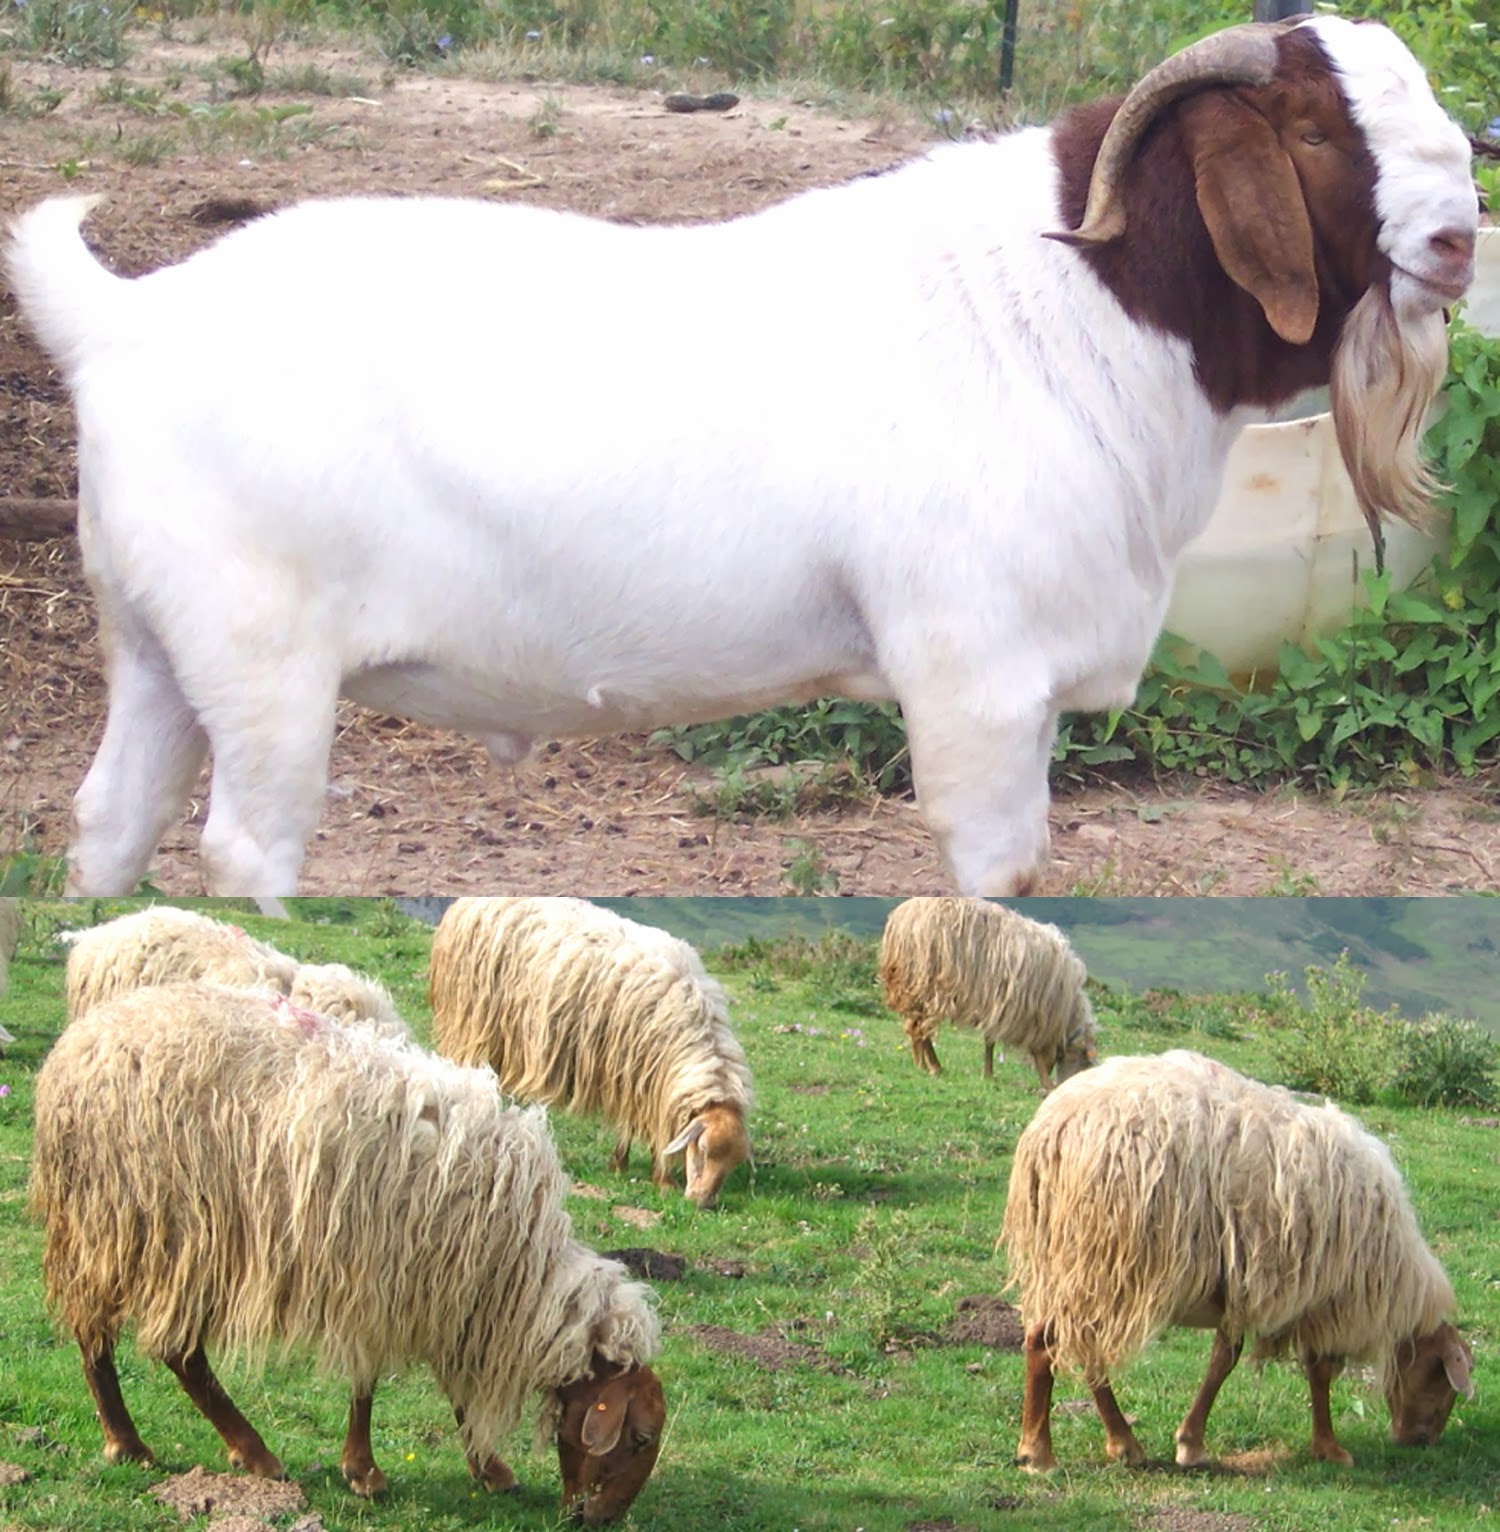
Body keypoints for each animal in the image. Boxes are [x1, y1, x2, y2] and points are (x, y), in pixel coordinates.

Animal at [4, 19, 1478, 898]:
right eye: (1313, 130)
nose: (1460, 235)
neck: (1066, 302)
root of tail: (123, 319)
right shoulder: (979, 677)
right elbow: (1000, 881)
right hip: (261, 657)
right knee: (249, 847)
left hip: (157, 646)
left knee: (109, 824)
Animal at [30, 981, 666, 1524]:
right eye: (639, 1437)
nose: (602, 1521)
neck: (521, 1275)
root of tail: (76, 1045)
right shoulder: (394, 1278)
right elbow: (371, 1384)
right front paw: (368, 1471)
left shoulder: (444, 1293)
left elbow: (444, 1385)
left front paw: (487, 1469)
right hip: (159, 1225)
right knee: (168, 1350)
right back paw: (219, 1451)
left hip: (113, 1228)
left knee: (110, 1338)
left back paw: (145, 1442)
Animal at [429, 896, 752, 1209]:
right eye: (703, 1149)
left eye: (733, 1162)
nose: (703, 1203)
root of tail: (463, 904)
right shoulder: (632, 1069)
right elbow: (638, 1121)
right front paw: (659, 1177)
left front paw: (623, 1164)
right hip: (469, 1022)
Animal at [878, 897, 1096, 1087]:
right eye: (1082, 1061)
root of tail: (901, 917)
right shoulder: (1030, 1012)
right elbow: (1031, 1051)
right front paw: (1045, 1083)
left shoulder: (1000, 1006)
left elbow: (990, 1041)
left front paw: (988, 1074)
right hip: (928, 985)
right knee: (920, 1029)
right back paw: (933, 1067)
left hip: (913, 986)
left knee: (915, 1028)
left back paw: (922, 1064)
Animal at [1001, 1049, 1474, 1471]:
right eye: (1442, 1380)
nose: (1419, 1441)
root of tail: (1053, 1130)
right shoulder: (1321, 1295)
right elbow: (1314, 1371)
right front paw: (1328, 1448)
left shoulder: (1244, 1288)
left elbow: (1225, 1359)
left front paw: (1191, 1442)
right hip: (1102, 1255)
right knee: (1050, 1343)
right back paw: (1040, 1454)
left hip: (1073, 1260)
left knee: (1073, 1345)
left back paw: (1118, 1444)